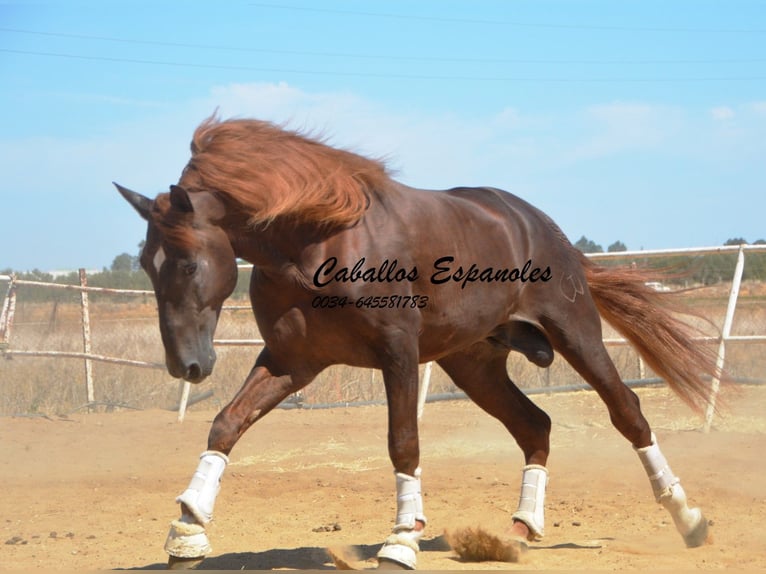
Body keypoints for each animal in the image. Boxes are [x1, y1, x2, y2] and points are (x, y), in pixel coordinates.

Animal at [117, 116, 716, 568]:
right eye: (146, 263)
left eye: (189, 263)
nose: (186, 366)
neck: (318, 241)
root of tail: (543, 225)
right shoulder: (292, 361)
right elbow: (226, 424)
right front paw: (187, 530)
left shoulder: (397, 353)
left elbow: (403, 442)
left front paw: (402, 540)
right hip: (474, 364)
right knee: (535, 426)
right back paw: (519, 531)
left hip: (575, 333)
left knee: (627, 411)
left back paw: (689, 519)